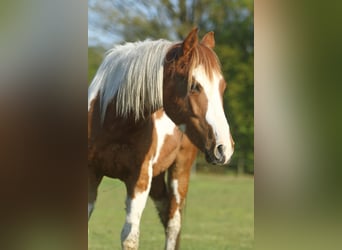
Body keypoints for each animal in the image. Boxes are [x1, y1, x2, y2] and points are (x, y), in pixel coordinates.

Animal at [87, 27, 235, 250]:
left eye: (222, 86)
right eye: (194, 86)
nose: (224, 148)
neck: (110, 121)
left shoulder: (139, 179)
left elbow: (130, 238)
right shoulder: (90, 175)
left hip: (179, 171)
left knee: (173, 223)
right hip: (156, 178)